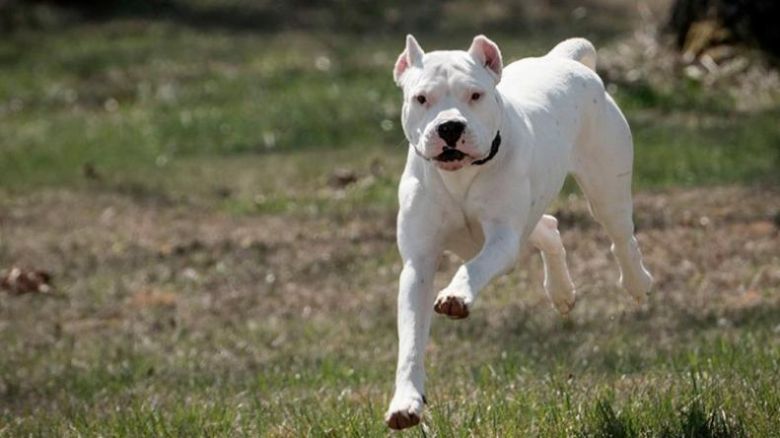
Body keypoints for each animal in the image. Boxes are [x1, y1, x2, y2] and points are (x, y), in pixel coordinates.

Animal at [386, 35, 656, 432]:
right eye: (421, 98)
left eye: (475, 95)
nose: (449, 127)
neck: (461, 175)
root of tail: (562, 60)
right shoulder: (418, 264)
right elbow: (411, 340)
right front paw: (405, 402)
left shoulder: (501, 239)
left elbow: (474, 268)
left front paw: (456, 295)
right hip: (532, 214)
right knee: (549, 227)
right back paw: (561, 292)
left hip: (606, 187)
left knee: (622, 237)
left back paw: (637, 282)